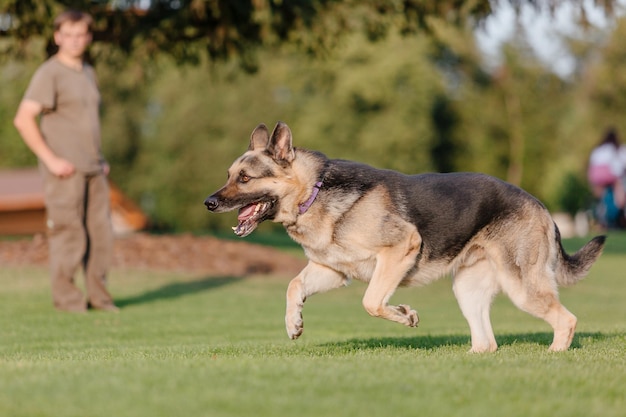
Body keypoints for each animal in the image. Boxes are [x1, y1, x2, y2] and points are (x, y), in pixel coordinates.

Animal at [205, 120, 604, 352]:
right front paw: (294, 323)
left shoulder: (399, 249)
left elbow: (372, 302)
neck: (314, 193)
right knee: (487, 343)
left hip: (522, 288)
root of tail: (542, 208)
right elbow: (293, 286)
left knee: (566, 320)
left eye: (245, 178)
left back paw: (554, 356)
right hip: (468, 291)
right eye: (229, 175)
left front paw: (405, 315)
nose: (209, 203)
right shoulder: (332, 271)